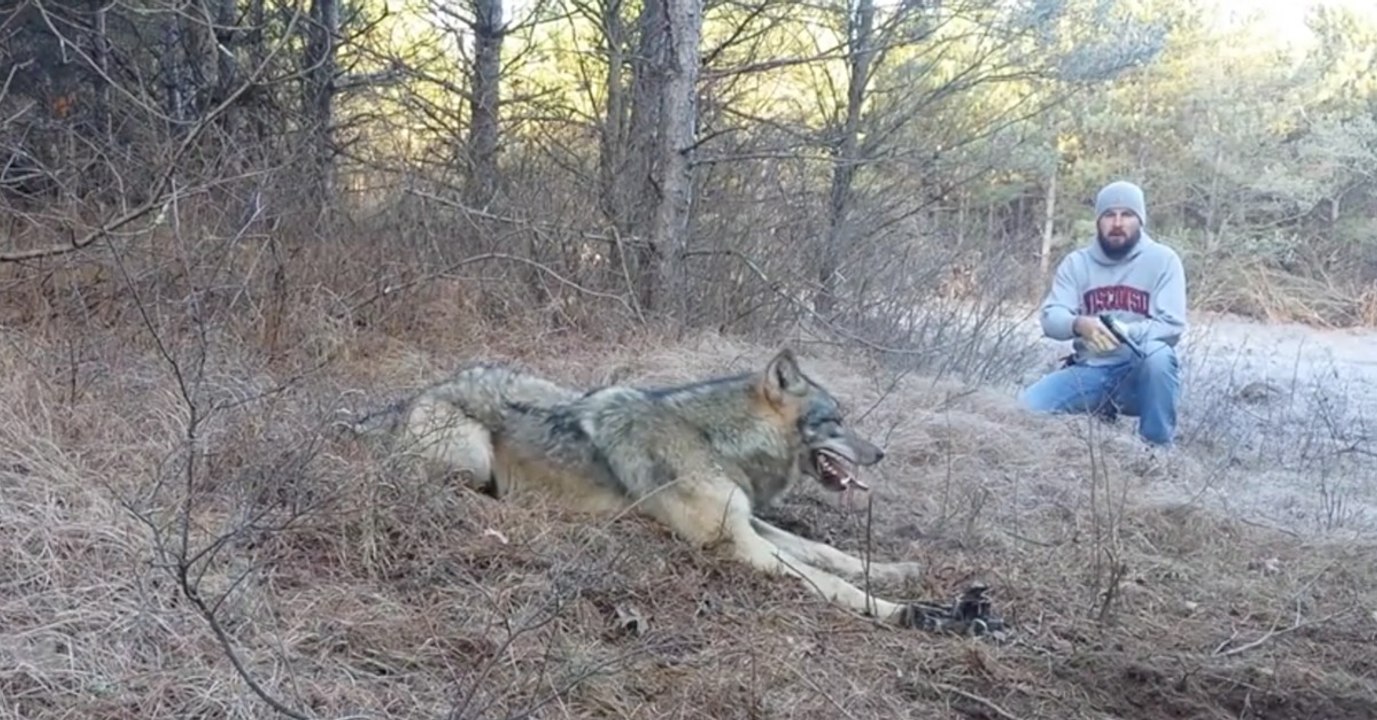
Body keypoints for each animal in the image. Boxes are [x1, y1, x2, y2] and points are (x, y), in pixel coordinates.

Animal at [342, 348, 939, 627]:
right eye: (836, 421)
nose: (881, 454)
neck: (713, 439)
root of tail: (416, 394)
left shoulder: (748, 521)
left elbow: (827, 552)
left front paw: (900, 572)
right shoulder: (736, 543)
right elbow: (828, 580)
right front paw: (900, 611)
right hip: (471, 458)